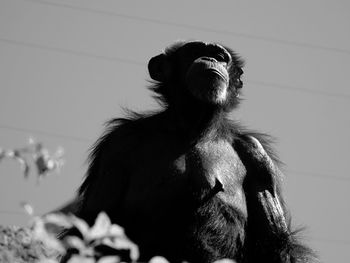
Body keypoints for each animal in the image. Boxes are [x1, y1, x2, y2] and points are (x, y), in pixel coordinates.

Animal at [75, 41, 316, 263]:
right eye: (196, 51)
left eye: (221, 57)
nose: (210, 59)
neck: (194, 128)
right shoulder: (119, 144)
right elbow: (96, 218)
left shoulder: (257, 157)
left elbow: (272, 240)